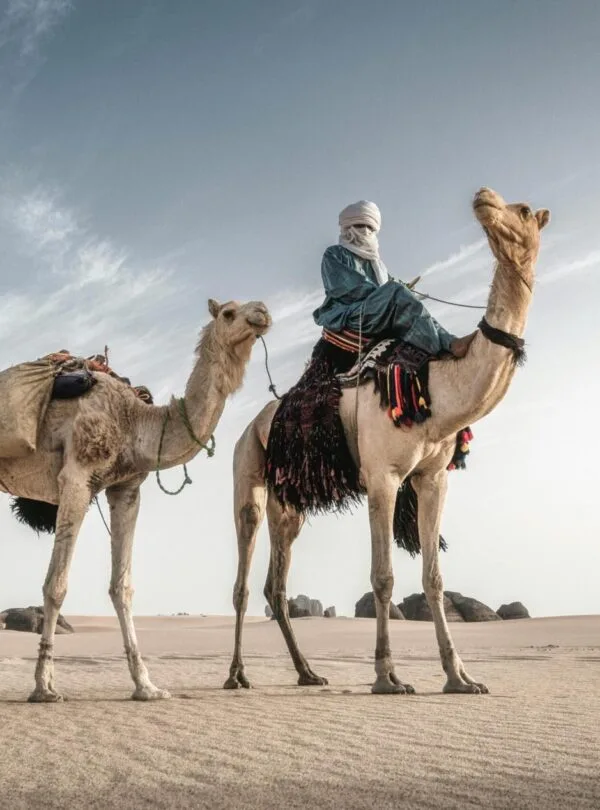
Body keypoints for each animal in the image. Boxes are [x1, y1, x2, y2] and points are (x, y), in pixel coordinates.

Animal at [0, 298, 271, 702]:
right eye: (228, 313)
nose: (263, 311)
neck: (136, 422)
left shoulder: (126, 488)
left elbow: (122, 586)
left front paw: (146, 686)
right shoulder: (76, 477)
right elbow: (56, 585)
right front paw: (44, 687)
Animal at [224, 187, 550, 695]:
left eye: (522, 210)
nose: (483, 197)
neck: (438, 385)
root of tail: (252, 425)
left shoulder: (432, 478)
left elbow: (434, 577)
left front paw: (460, 678)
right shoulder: (382, 476)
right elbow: (383, 576)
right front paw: (387, 677)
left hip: (289, 498)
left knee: (275, 584)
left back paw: (307, 673)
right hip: (247, 471)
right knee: (243, 572)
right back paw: (237, 674)